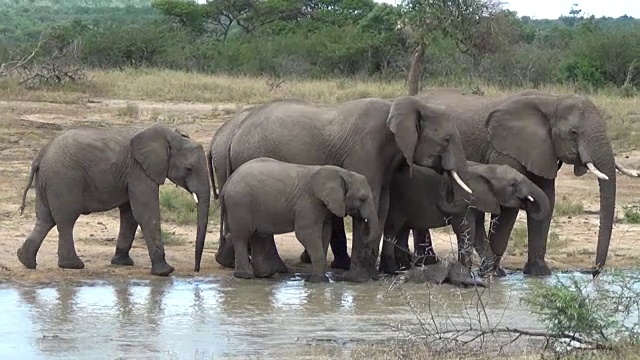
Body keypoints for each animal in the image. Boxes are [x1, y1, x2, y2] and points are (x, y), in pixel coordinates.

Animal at [16, 124, 212, 276]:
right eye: (189, 169)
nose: (196, 270)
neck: (171, 137)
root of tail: (40, 156)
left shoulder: (133, 174)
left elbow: (130, 215)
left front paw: (122, 263)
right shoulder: (139, 171)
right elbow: (146, 213)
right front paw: (165, 272)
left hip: (48, 181)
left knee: (45, 220)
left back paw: (25, 260)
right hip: (63, 180)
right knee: (66, 220)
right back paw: (72, 265)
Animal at [221, 157, 380, 282]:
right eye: (362, 198)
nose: (361, 218)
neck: (343, 173)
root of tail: (227, 182)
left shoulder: (323, 206)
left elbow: (324, 232)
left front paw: (317, 279)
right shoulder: (309, 202)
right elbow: (306, 234)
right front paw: (319, 281)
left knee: (257, 235)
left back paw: (265, 275)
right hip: (239, 204)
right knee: (242, 237)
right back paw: (245, 276)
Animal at [382, 161, 552, 276]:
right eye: (513, 184)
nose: (530, 204)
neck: (484, 169)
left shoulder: (479, 201)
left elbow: (478, 235)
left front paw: (490, 275)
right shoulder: (465, 201)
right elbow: (467, 231)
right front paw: (466, 274)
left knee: (402, 230)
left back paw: (404, 267)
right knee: (393, 228)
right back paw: (394, 270)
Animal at [412, 88, 636, 278]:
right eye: (574, 133)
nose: (593, 273)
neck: (553, 101)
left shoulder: (543, 150)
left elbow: (548, 198)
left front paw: (539, 274)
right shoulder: (505, 151)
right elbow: (508, 207)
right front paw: (497, 273)